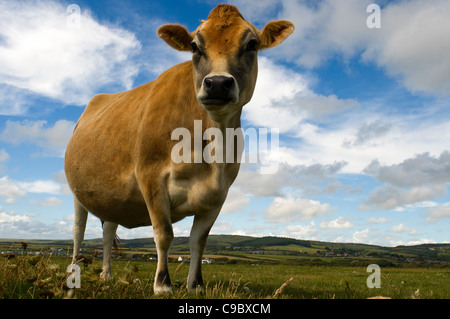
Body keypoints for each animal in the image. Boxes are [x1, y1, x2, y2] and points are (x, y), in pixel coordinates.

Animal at [65, 5, 294, 296]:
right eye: (195, 46)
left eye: (252, 44)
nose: (217, 83)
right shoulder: (151, 178)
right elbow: (164, 234)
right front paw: (163, 284)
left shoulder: (219, 194)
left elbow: (199, 240)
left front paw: (195, 285)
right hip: (77, 193)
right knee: (78, 231)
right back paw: (74, 273)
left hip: (111, 197)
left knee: (107, 231)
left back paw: (106, 275)